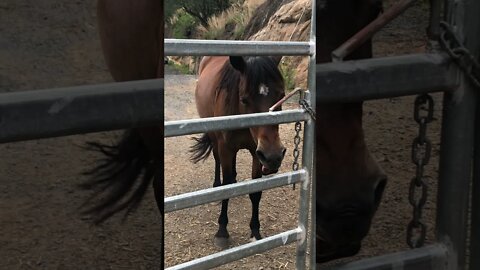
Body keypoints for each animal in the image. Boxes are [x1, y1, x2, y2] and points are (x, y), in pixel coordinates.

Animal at [190, 55, 286, 247]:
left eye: (281, 95)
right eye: (244, 99)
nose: (273, 156)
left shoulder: (257, 152)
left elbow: (256, 191)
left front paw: (255, 231)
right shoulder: (226, 148)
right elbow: (226, 187)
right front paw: (222, 232)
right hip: (215, 140)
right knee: (217, 161)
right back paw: (216, 185)